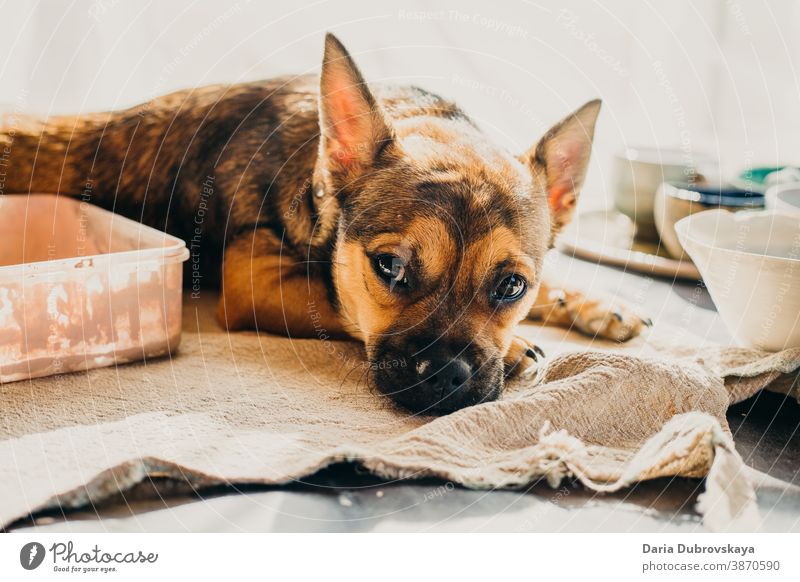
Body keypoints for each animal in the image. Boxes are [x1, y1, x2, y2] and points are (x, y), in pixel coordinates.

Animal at [0, 34, 648, 416]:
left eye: (511, 286)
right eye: (389, 267)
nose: (445, 375)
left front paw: (593, 303)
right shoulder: (254, 278)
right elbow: (338, 302)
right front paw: (518, 350)